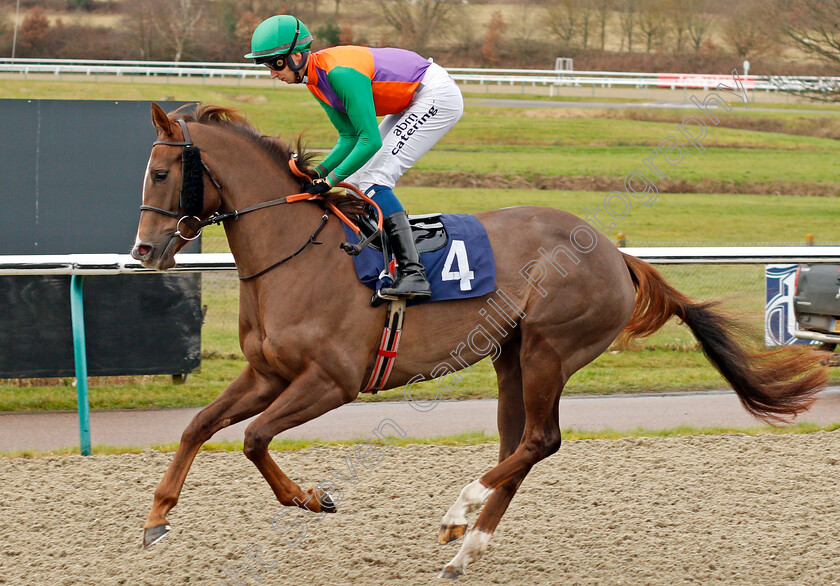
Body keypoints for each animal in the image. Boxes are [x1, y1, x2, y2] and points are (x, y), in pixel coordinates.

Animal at [131, 102, 828, 576]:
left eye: (162, 172)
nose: (144, 253)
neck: (297, 254)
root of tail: (615, 254)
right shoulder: (268, 373)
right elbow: (199, 426)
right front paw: (157, 517)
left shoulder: (332, 382)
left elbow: (253, 438)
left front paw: (309, 496)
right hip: (511, 357)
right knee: (519, 445)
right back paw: (467, 547)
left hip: (550, 348)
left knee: (541, 441)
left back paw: (458, 512)